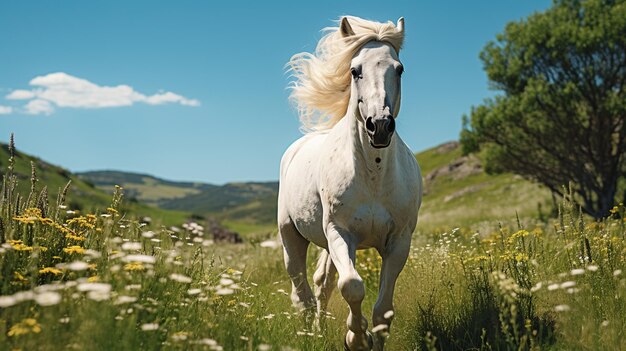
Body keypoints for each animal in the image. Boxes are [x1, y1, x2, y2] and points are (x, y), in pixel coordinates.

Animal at [276, 16, 420, 351]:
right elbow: (352, 286)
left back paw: (318, 329)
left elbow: (383, 309)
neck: (373, 175)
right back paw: (309, 335)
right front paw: (356, 337)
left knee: (322, 285)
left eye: (399, 69)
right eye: (355, 70)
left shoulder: (399, 242)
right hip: (291, 236)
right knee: (302, 292)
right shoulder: (340, 233)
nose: (379, 126)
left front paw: (371, 337)